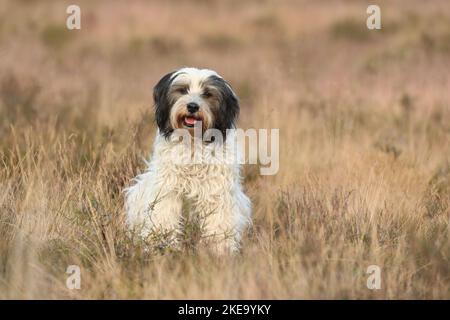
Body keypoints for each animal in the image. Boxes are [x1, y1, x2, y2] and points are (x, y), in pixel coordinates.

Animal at [125, 67, 251, 252]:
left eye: (207, 94)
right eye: (183, 90)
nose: (192, 106)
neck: (193, 142)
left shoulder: (217, 194)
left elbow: (218, 225)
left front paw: (219, 250)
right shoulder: (168, 191)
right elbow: (164, 218)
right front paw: (162, 245)